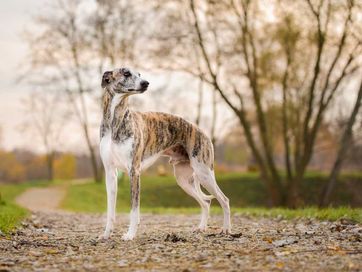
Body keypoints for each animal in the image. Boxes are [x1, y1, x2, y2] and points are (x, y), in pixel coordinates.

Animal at [97, 68, 230, 240]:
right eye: (126, 73)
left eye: (139, 74)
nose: (146, 83)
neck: (115, 120)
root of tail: (202, 132)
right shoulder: (110, 173)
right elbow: (110, 211)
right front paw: (106, 235)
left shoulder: (134, 171)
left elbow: (134, 209)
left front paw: (130, 235)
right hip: (183, 179)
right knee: (206, 202)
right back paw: (201, 228)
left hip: (204, 172)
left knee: (224, 199)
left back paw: (226, 230)